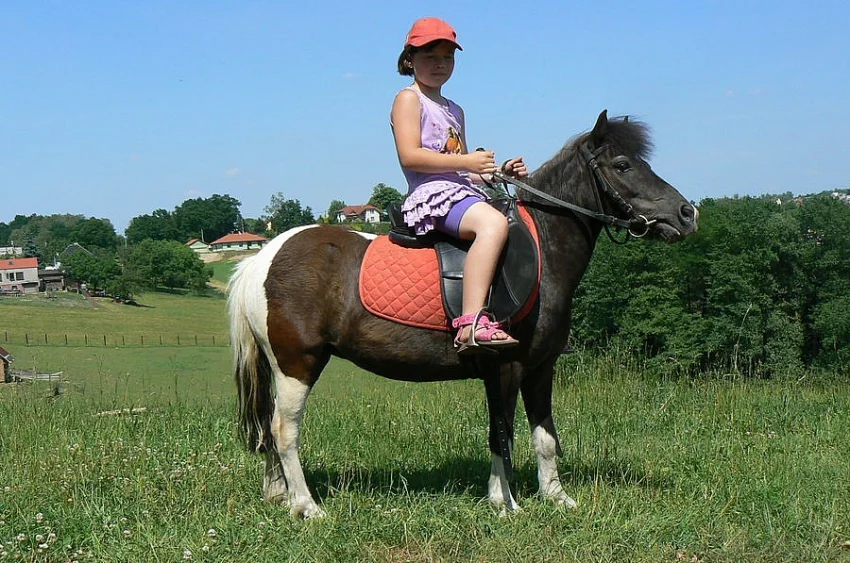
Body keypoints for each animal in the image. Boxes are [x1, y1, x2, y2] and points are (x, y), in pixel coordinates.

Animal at [228, 110, 698, 518]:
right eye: (622, 165)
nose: (687, 213)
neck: (544, 248)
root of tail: (262, 257)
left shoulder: (540, 367)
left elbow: (543, 436)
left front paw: (555, 498)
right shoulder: (506, 367)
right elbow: (503, 433)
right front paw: (506, 503)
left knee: (268, 428)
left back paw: (278, 494)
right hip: (297, 363)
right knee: (284, 431)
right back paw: (306, 506)